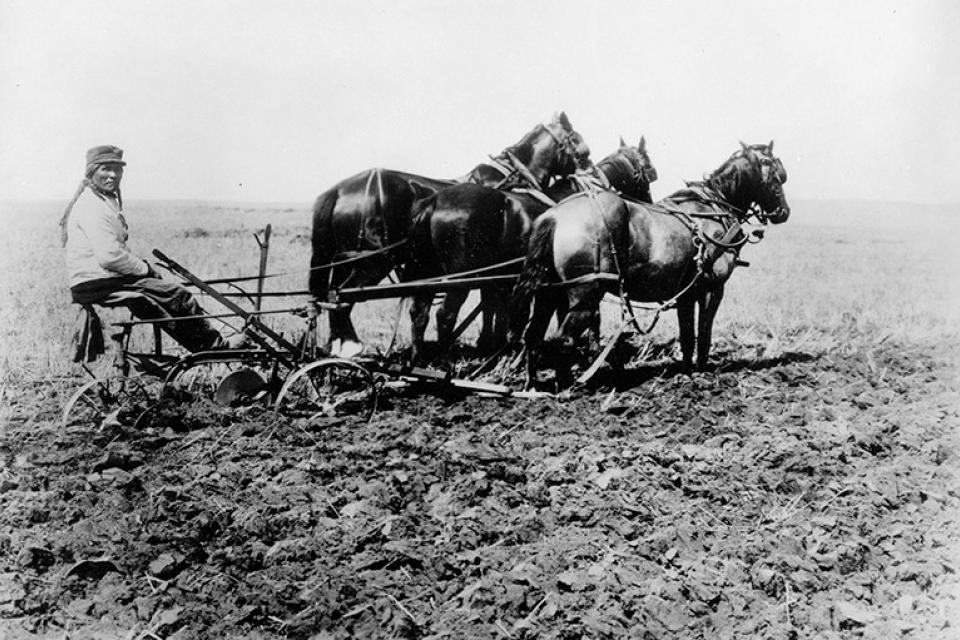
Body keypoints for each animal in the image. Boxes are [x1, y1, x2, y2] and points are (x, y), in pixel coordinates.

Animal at [312, 112, 588, 358]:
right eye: (579, 145)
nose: (590, 170)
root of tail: (339, 190)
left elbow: (490, 304)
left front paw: (486, 343)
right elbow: (492, 305)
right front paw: (490, 344)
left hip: (344, 261)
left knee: (334, 296)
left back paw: (339, 345)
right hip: (372, 262)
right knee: (344, 298)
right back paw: (350, 347)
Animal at [404, 137, 660, 362]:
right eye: (648, 169)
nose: (650, 203)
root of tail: (435, 201)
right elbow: (585, 314)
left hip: (429, 271)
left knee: (419, 311)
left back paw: (418, 358)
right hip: (461, 278)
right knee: (445, 314)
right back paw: (444, 361)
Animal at [510, 142, 788, 388]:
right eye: (777, 177)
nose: (784, 212)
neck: (712, 209)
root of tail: (555, 216)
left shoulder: (686, 293)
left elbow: (687, 335)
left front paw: (686, 372)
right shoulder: (712, 289)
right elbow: (704, 332)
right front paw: (701, 371)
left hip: (550, 293)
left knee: (534, 336)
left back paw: (533, 386)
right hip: (584, 294)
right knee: (565, 339)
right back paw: (568, 386)